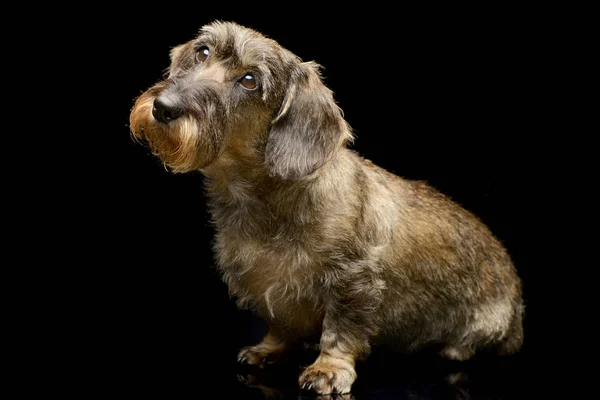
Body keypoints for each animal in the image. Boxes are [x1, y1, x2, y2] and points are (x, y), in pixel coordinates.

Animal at [129, 21, 524, 394]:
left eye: (250, 80)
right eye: (203, 51)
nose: (163, 108)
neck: (265, 201)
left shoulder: (353, 282)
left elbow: (341, 330)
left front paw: (329, 369)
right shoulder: (262, 284)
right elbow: (278, 323)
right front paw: (269, 348)